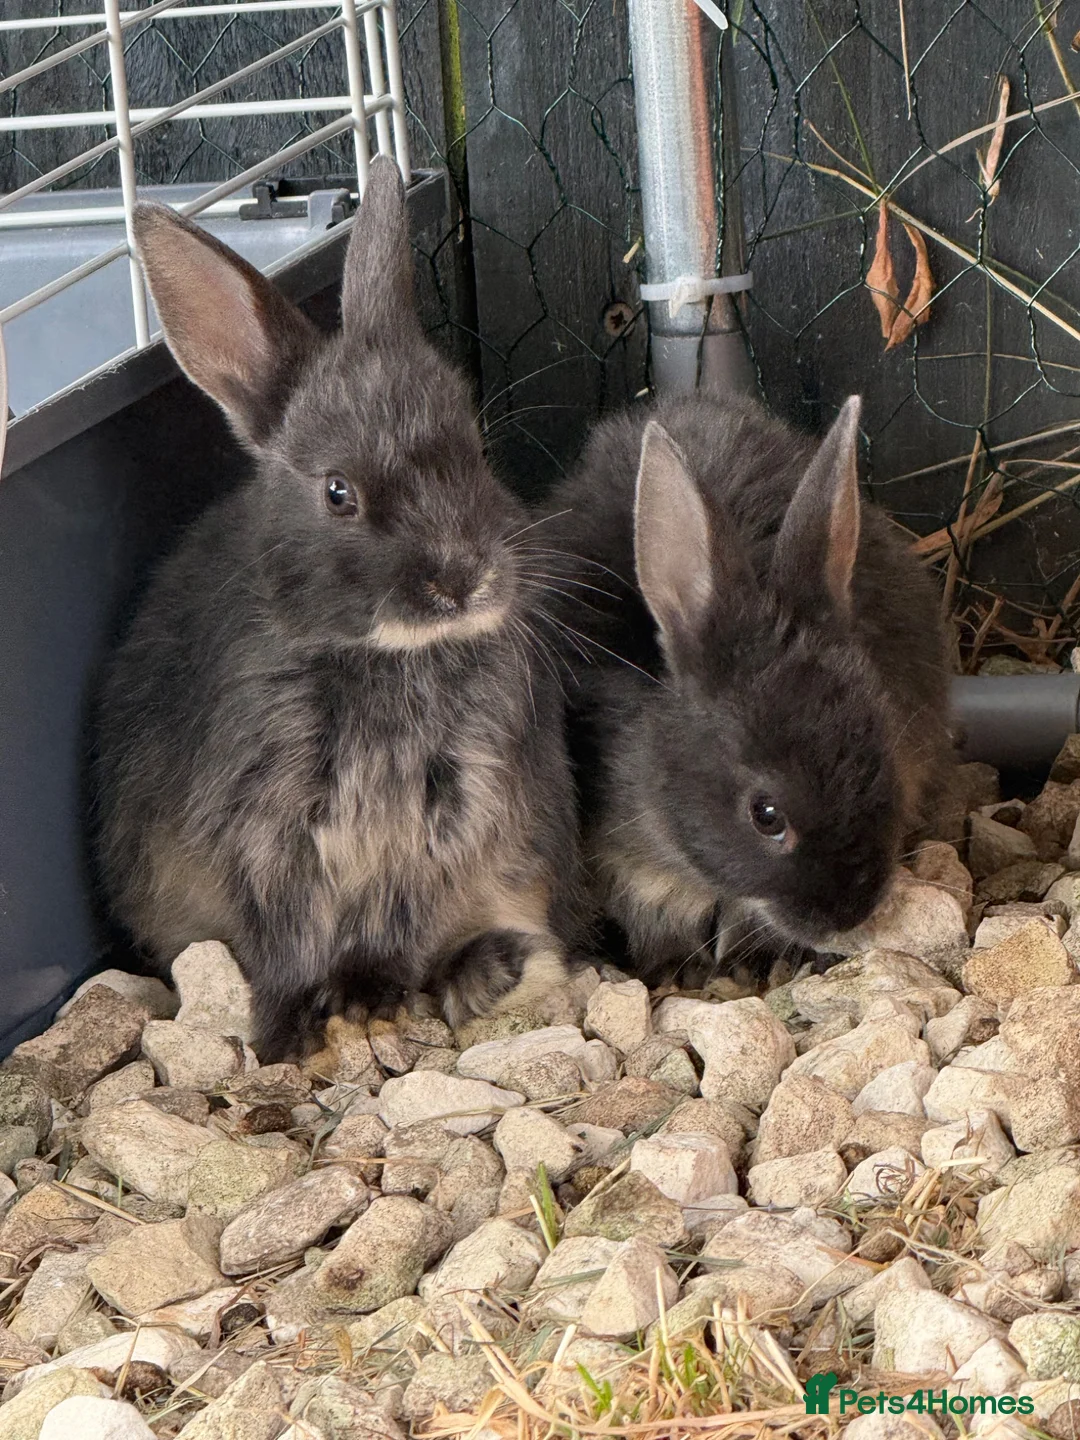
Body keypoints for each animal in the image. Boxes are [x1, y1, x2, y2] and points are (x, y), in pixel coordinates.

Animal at [93, 157, 583, 1062]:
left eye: (475, 451)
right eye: (338, 492)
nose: (464, 579)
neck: (382, 658)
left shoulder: (453, 817)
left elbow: (401, 923)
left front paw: (372, 1001)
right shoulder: (261, 837)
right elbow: (281, 944)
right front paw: (295, 1031)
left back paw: (487, 971)